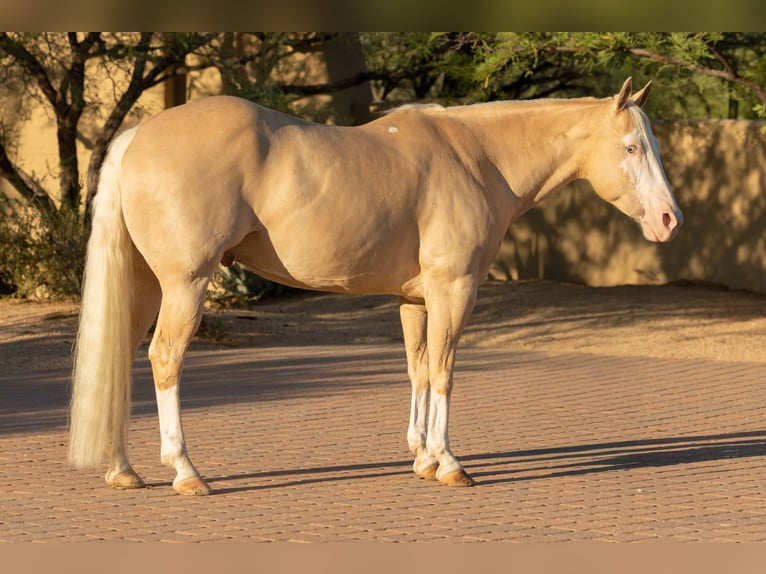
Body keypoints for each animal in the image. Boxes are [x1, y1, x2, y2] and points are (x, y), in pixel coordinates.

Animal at [69, 77, 682, 495]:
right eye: (632, 147)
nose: (669, 219)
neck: (477, 156)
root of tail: (138, 136)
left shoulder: (415, 298)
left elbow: (417, 369)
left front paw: (422, 459)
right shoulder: (454, 290)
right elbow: (444, 371)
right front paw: (450, 464)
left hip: (147, 286)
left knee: (122, 357)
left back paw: (124, 470)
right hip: (186, 286)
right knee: (164, 359)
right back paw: (185, 471)